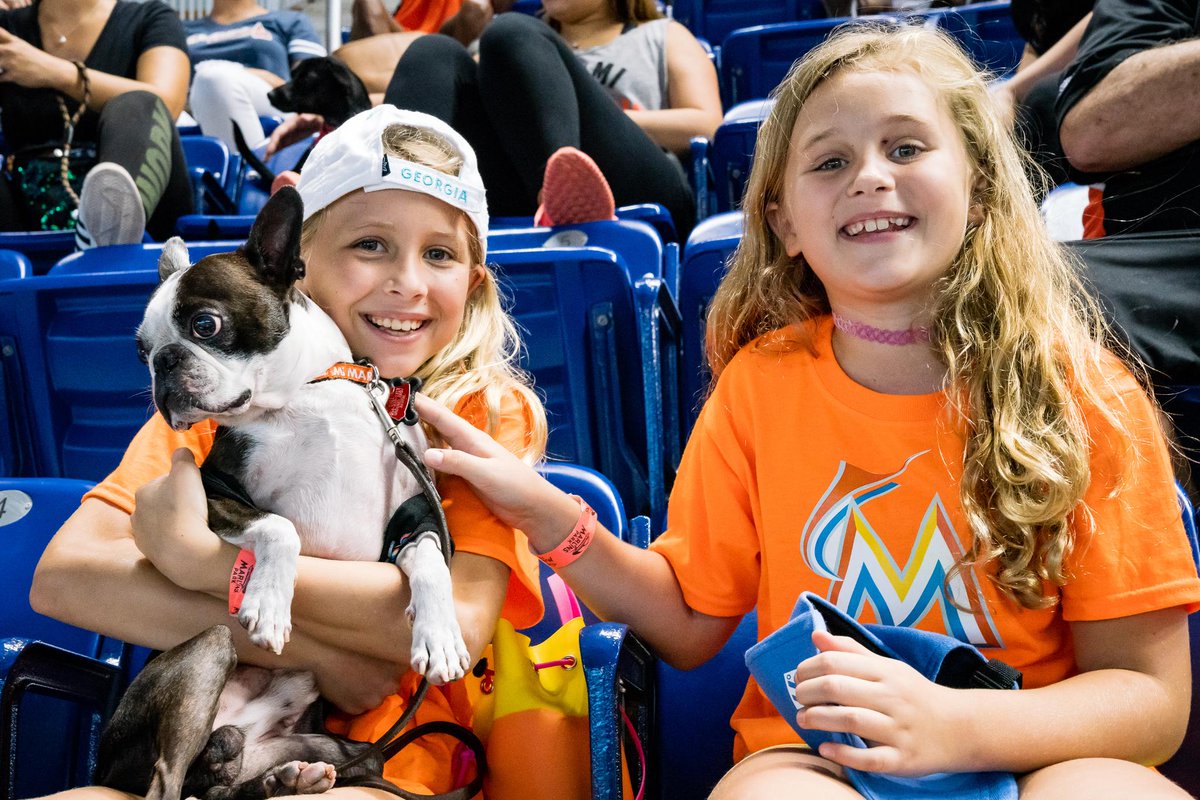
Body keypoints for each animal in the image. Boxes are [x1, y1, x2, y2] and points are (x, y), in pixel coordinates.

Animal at [93, 185, 472, 800]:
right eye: (141, 352)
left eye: (205, 326)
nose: (163, 364)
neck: (306, 395)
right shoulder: (212, 490)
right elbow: (279, 525)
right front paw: (268, 603)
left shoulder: (416, 516)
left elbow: (430, 563)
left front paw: (438, 634)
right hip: (206, 653)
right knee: (169, 778)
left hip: (348, 748)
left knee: (227, 783)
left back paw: (288, 776)